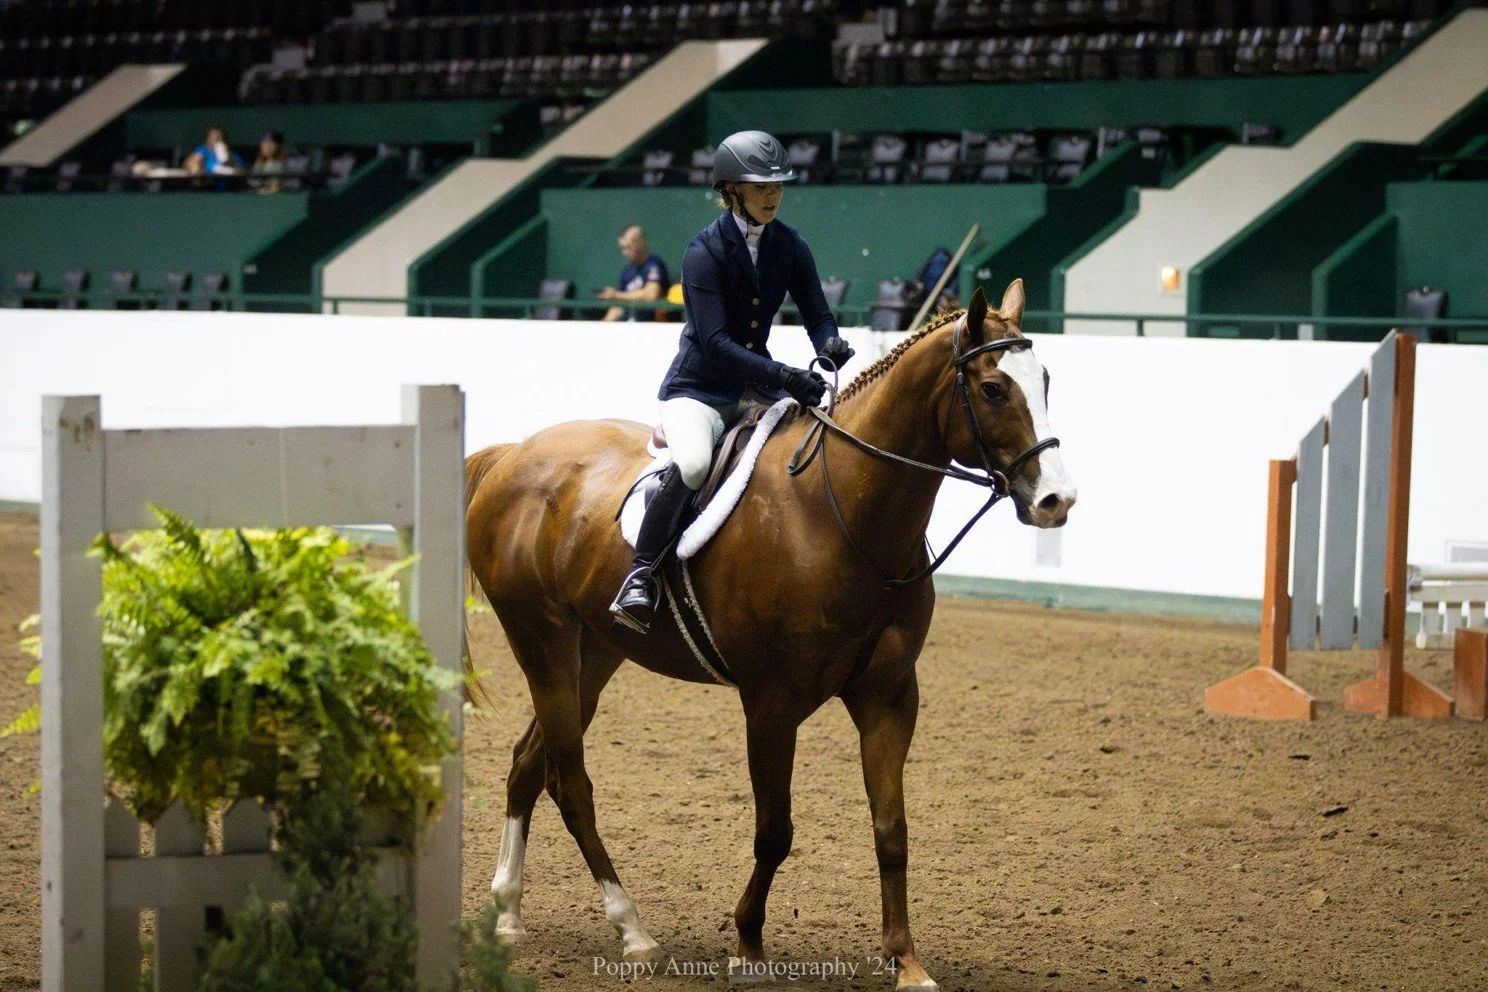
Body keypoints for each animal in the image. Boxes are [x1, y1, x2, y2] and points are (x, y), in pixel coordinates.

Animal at [465, 280, 1076, 990]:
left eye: (1046, 379)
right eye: (994, 389)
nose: (1056, 501)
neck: (840, 516)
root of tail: (513, 456)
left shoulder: (890, 697)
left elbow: (891, 828)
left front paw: (905, 960)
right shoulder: (771, 702)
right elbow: (774, 830)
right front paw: (748, 945)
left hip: (594, 656)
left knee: (526, 765)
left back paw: (508, 913)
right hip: (544, 645)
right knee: (570, 783)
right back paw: (631, 929)